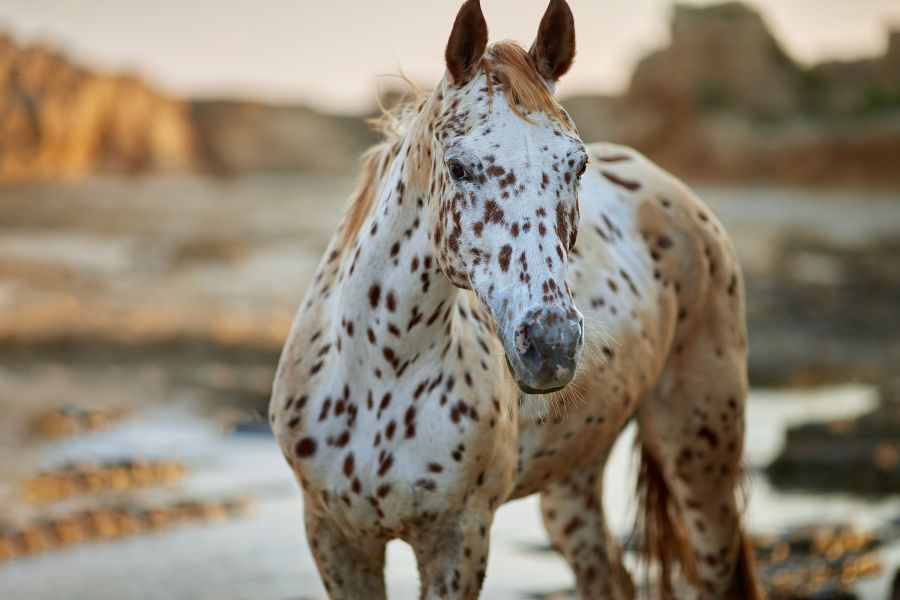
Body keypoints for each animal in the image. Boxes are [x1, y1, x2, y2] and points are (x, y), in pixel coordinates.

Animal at [270, 2, 764, 596]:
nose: (551, 346)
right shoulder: (336, 539)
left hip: (699, 455)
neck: (380, 376)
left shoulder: (459, 538)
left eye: (576, 165)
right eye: (458, 166)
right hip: (574, 482)